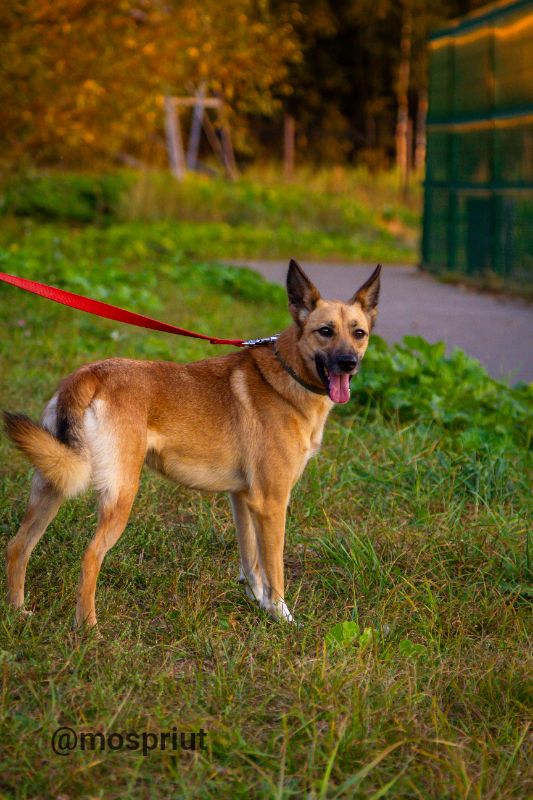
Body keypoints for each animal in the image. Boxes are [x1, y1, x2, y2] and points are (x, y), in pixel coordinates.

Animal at [3, 260, 378, 628]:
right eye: (325, 331)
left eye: (359, 333)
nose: (349, 363)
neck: (288, 374)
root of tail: (90, 375)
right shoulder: (271, 503)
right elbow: (275, 571)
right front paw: (282, 617)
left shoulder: (243, 499)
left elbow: (251, 563)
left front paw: (258, 604)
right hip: (120, 494)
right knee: (91, 555)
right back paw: (88, 627)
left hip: (52, 484)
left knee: (18, 546)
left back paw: (17, 611)